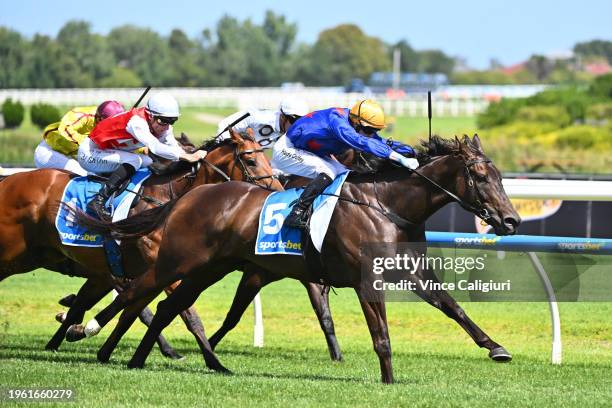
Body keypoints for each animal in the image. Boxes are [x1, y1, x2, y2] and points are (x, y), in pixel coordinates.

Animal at [0, 130, 280, 360]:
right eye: (251, 161)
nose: (276, 191)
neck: (167, 201)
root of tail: (9, 181)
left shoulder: (122, 273)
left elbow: (129, 310)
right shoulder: (157, 270)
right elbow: (184, 313)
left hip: (32, 256)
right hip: (14, 251)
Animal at [70, 135, 520, 382]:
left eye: (501, 177)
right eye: (481, 177)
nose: (511, 220)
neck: (388, 205)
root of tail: (189, 195)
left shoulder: (412, 273)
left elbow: (453, 307)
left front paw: (496, 348)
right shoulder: (366, 280)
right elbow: (381, 336)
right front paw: (388, 381)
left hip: (210, 268)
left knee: (167, 306)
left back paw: (147, 359)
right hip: (178, 261)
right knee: (138, 293)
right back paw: (88, 334)